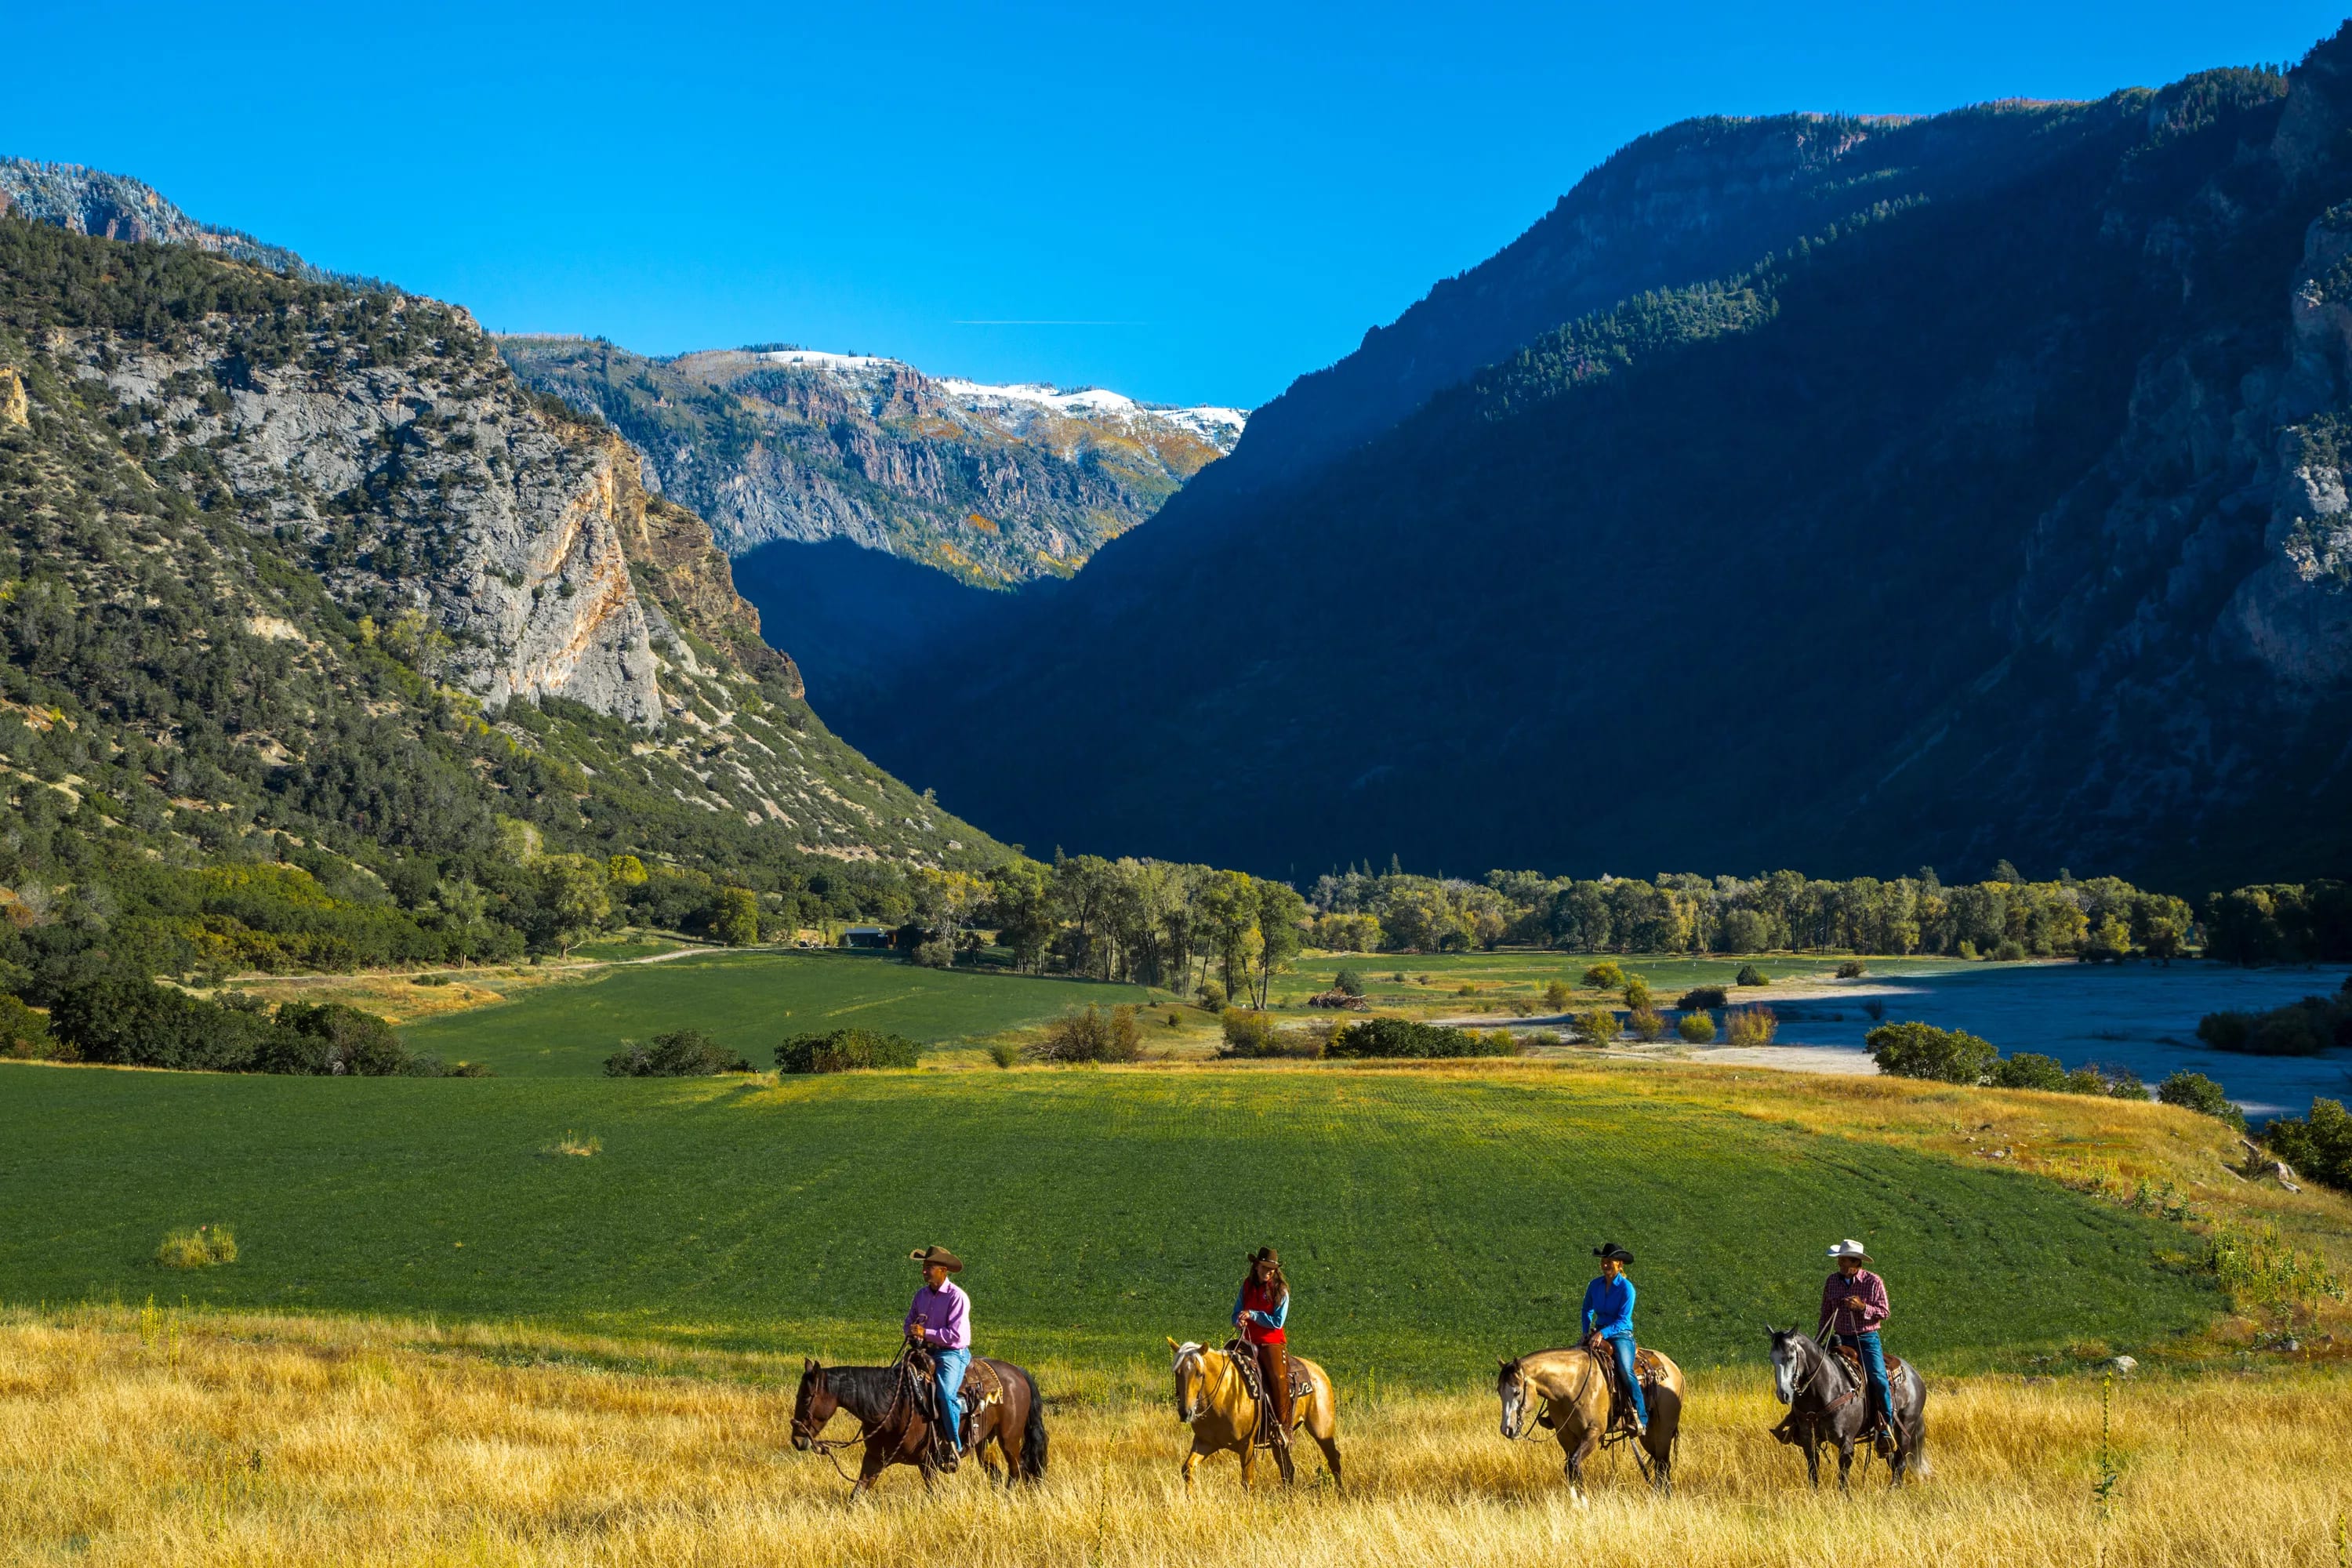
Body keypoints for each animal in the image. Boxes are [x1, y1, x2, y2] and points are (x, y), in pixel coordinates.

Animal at [790, 1354, 1049, 1495]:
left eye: (807, 1397)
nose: (797, 1440)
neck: (893, 1405)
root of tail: (1017, 1372)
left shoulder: (929, 1462)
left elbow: (934, 1495)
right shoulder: (874, 1459)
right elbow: (857, 1494)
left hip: (1009, 1438)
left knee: (1016, 1469)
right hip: (984, 1442)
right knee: (995, 1473)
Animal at [1171, 1335, 1355, 1495]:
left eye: (1200, 1373)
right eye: (1177, 1372)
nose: (1186, 1412)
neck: (1224, 1393)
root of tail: (1318, 1370)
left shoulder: (1246, 1445)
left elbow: (1247, 1482)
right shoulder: (1205, 1443)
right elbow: (1187, 1468)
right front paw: (1190, 1499)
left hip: (1322, 1429)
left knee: (1334, 1460)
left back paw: (1340, 1494)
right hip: (1278, 1442)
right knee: (1288, 1469)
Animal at [1496, 1345, 1684, 1504]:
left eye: (1517, 1391)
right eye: (1499, 1391)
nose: (1507, 1429)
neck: (1571, 1386)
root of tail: (1673, 1366)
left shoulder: (1593, 1432)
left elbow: (1573, 1464)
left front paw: (1584, 1503)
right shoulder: (1565, 1435)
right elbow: (1571, 1467)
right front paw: (1576, 1503)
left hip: (1663, 1430)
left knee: (1663, 1464)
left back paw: (1666, 1498)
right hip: (1649, 1435)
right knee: (1659, 1464)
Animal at [1769, 1335, 1929, 1495]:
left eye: (1791, 1357)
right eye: (1772, 1358)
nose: (1783, 1394)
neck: (1826, 1389)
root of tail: (1915, 1375)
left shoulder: (1846, 1441)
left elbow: (1843, 1478)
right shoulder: (1809, 1439)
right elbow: (1813, 1473)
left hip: (1905, 1428)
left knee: (1900, 1463)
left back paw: (1892, 1492)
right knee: (1893, 1461)